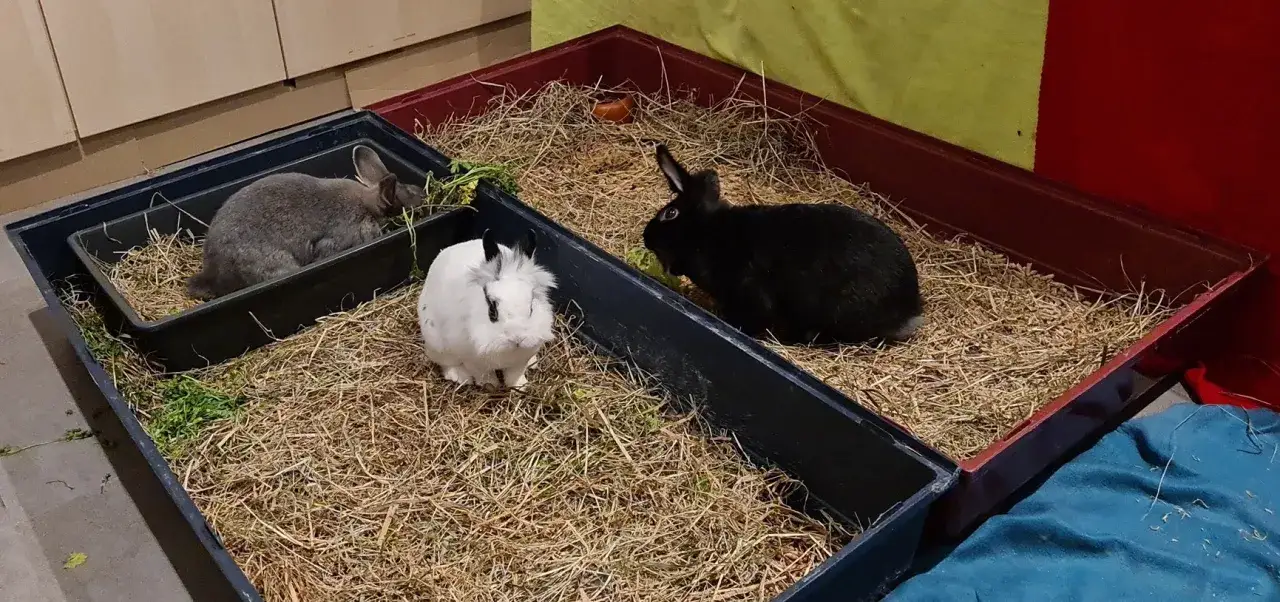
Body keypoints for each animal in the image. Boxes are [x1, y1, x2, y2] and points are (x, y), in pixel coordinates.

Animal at [417, 229, 557, 389]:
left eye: (531, 307)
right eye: (492, 310)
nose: (517, 338)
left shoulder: (520, 361)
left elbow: (515, 375)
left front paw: (520, 386)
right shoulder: (473, 362)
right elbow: (484, 375)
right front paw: (491, 386)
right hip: (436, 343)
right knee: (446, 363)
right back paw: (460, 377)